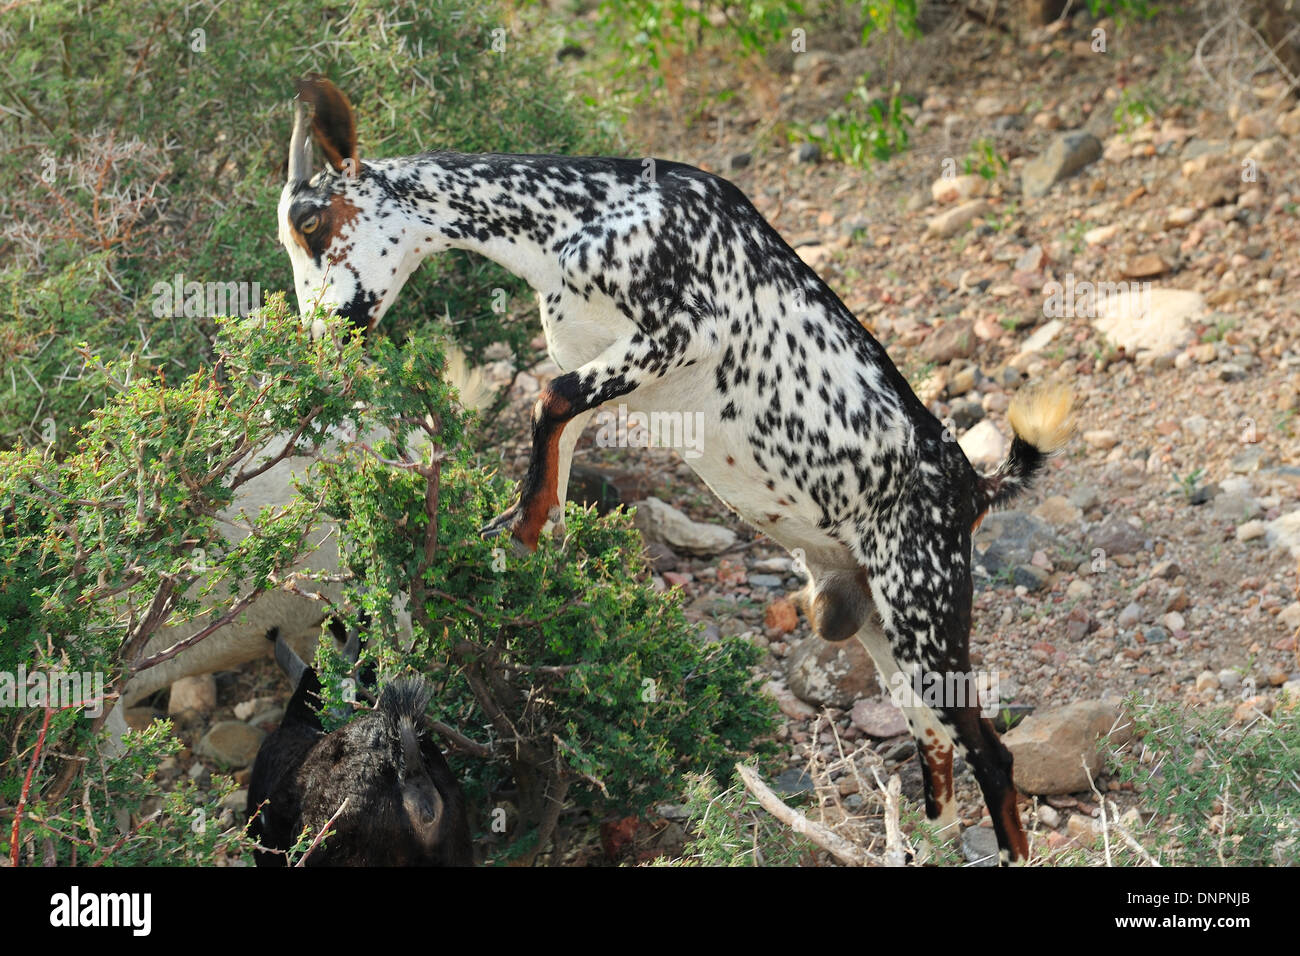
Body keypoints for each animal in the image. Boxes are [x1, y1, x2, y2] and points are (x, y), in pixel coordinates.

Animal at [277, 76, 1076, 863]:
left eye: (312, 223)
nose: (319, 337)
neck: (578, 212)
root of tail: (974, 488)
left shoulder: (683, 329)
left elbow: (544, 398)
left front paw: (519, 530)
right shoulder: (597, 364)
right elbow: (557, 437)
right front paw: (525, 532)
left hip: (925, 609)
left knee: (991, 754)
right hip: (881, 627)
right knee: (936, 748)